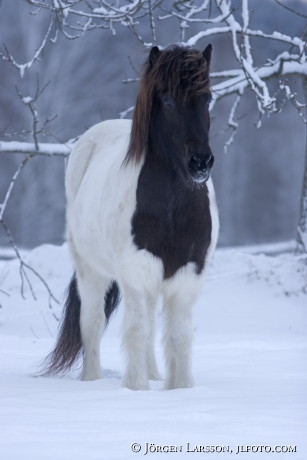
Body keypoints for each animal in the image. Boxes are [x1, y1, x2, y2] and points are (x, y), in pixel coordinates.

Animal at [44, 43, 220, 390]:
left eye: (207, 97)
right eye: (167, 100)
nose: (200, 162)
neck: (171, 210)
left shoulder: (187, 275)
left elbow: (178, 338)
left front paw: (179, 389)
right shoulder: (135, 273)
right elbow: (136, 333)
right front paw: (136, 390)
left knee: (150, 323)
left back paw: (153, 374)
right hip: (91, 272)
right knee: (93, 323)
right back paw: (92, 380)